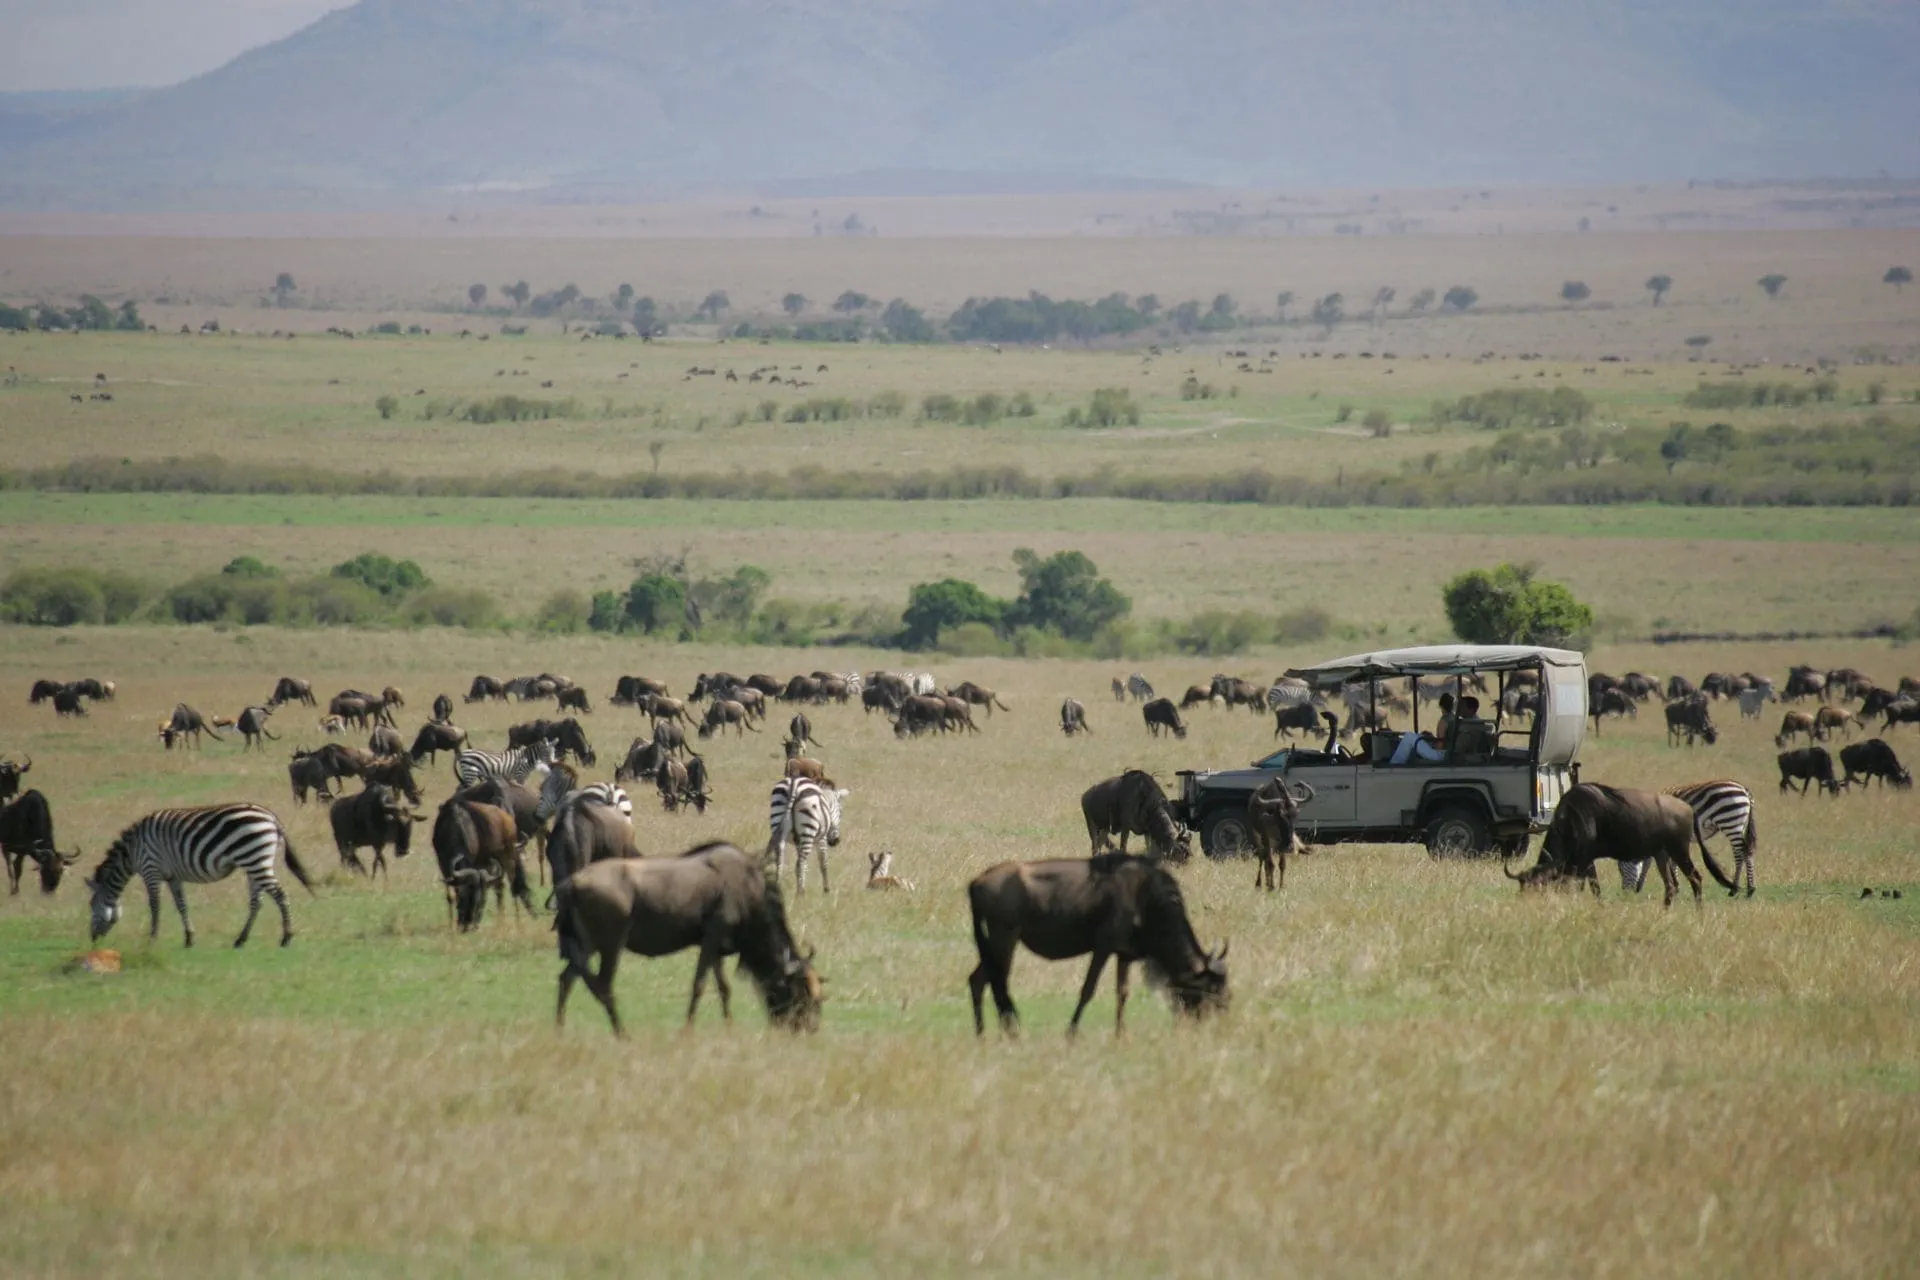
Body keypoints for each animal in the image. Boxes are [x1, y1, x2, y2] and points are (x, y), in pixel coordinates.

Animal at [85, 805, 311, 948]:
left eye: (92, 906)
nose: (93, 939)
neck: (131, 852)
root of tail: (271, 817)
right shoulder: (172, 877)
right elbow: (181, 905)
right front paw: (189, 938)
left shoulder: (151, 870)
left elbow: (155, 906)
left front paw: (152, 939)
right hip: (256, 862)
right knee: (257, 901)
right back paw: (240, 939)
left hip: (254, 858)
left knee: (280, 895)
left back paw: (286, 938)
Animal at [1620, 782, 1758, 901]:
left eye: (1621, 871)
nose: (1625, 893)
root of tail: (1745, 790)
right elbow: (1662, 862)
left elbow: (1656, 861)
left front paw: (1674, 886)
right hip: (1739, 824)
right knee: (1748, 851)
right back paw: (1750, 890)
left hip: (1729, 821)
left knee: (1740, 852)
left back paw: (1735, 889)